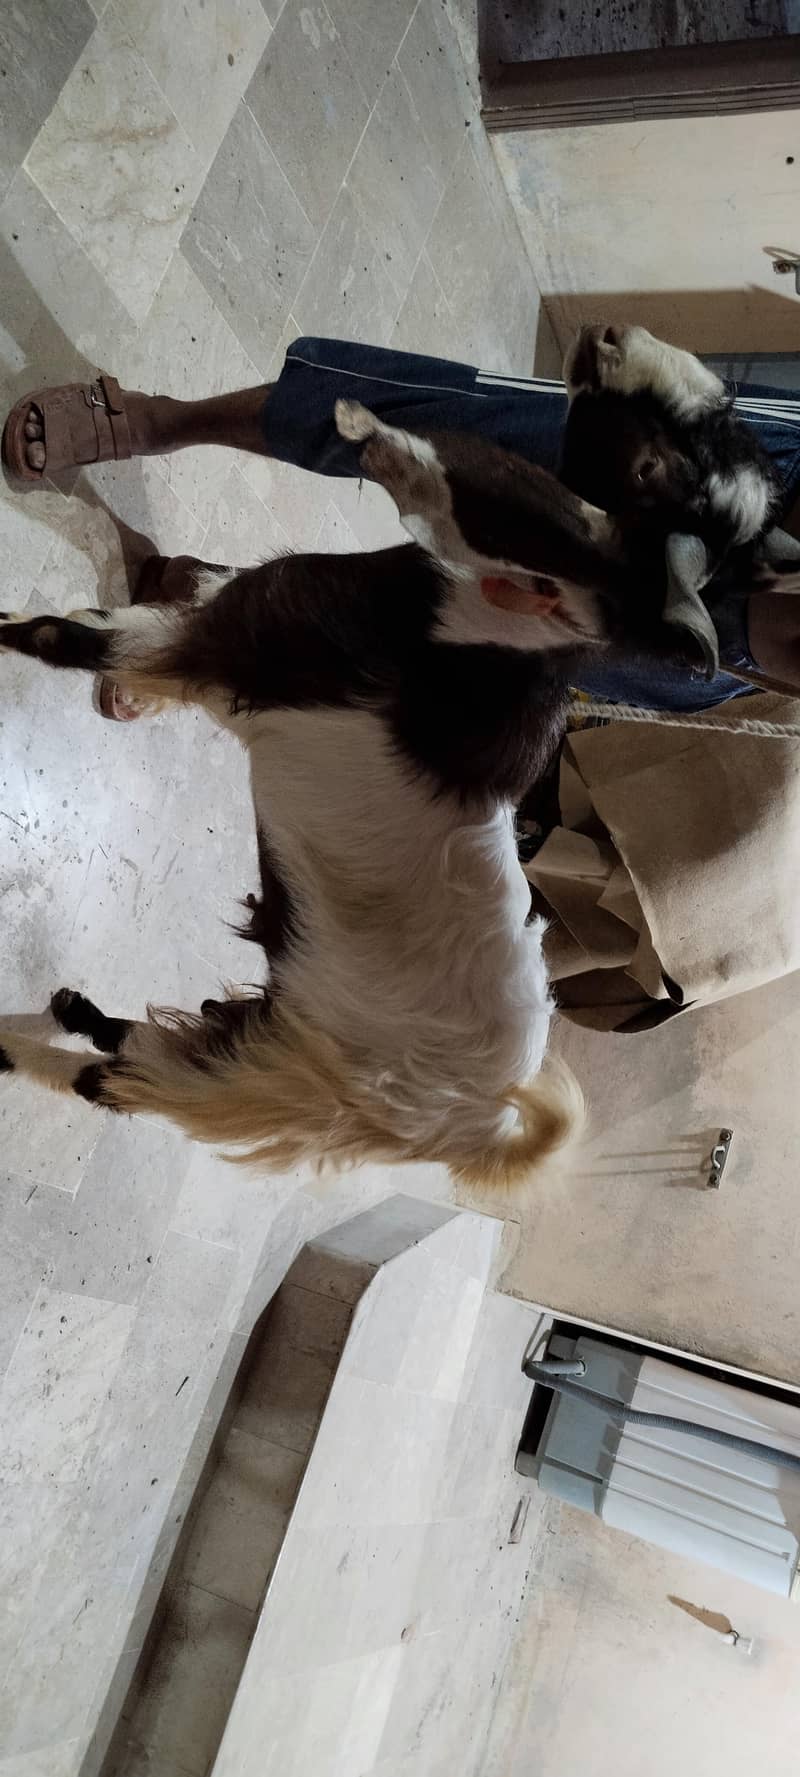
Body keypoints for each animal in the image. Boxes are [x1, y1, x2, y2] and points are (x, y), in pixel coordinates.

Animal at [0, 401, 741, 1189]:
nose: (373, 431)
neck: (471, 655)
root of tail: (478, 1133)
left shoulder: (216, 644)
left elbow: (69, 638)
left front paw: (11, 628)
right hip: (281, 1033)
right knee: (151, 1043)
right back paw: (73, 1009)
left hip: (272, 1080)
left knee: (118, 1081)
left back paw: (20, 1044)